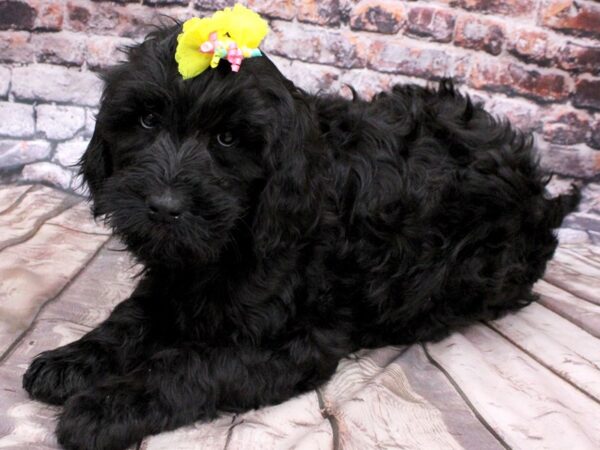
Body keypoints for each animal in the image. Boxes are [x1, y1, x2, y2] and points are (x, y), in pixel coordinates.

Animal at [22, 23, 576, 450]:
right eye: (147, 120)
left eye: (228, 139)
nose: (164, 207)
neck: (232, 242)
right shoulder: (171, 278)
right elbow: (129, 318)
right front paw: (71, 361)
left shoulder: (292, 341)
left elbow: (189, 366)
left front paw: (103, 406)